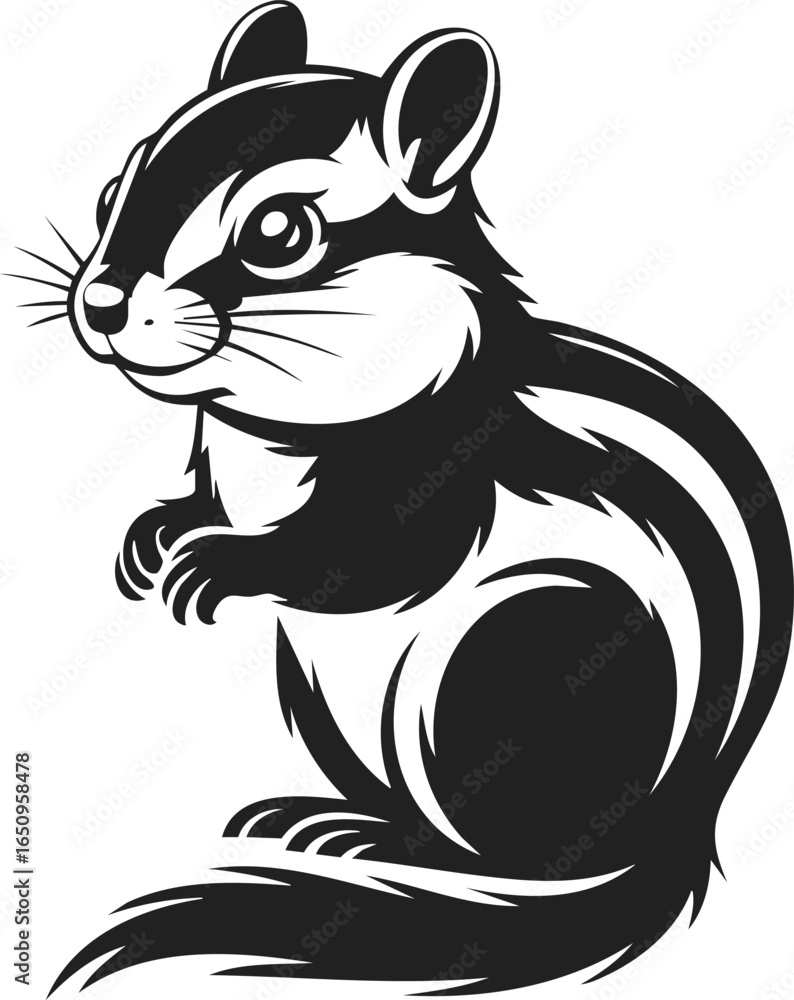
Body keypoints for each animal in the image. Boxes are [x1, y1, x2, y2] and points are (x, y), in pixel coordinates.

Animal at [43, 2, 792, 995]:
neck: (269, 434)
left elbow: (357, 562)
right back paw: (328, 820)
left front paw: (219, 562)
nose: (102, 303)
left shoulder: (435, 474)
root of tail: (675, 826)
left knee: (508, 858)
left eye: (279, 233)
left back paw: (384, 845)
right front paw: (154, 533)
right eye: (109, 193)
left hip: (512, 659)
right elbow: (200, 500)